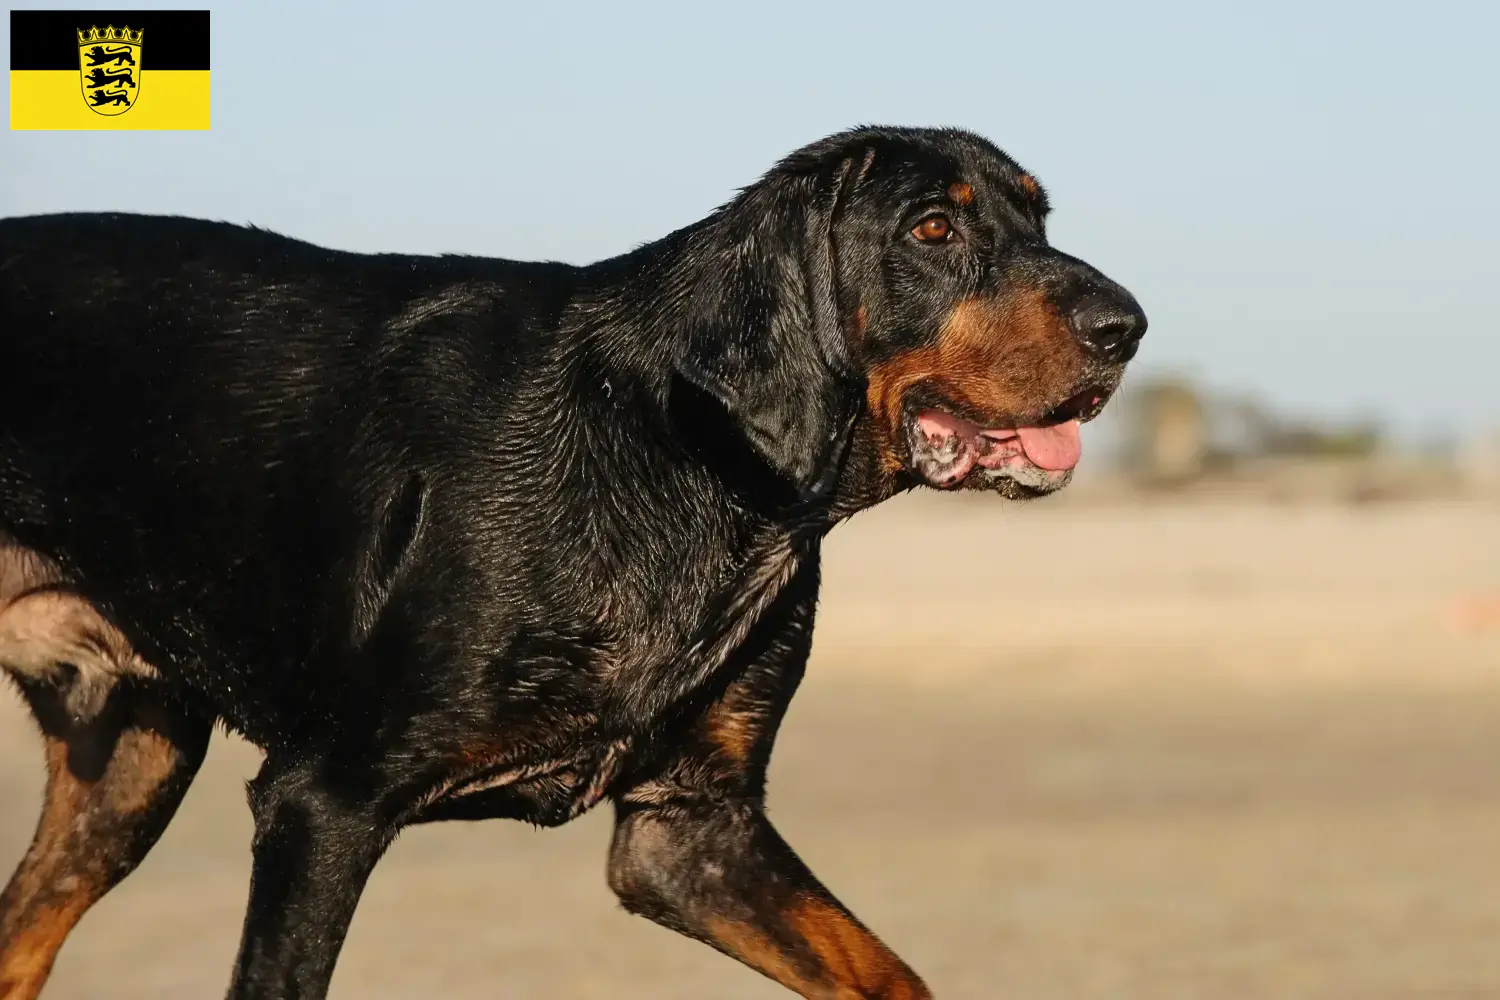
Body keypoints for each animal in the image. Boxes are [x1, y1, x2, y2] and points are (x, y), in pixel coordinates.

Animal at [0, 128, 1140, 995]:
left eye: (1040, 221)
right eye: (932, 229)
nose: (1126, 327)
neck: (692, 463)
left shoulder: (690, 829)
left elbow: (888, 975)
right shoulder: (321, 803)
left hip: (128, 765)